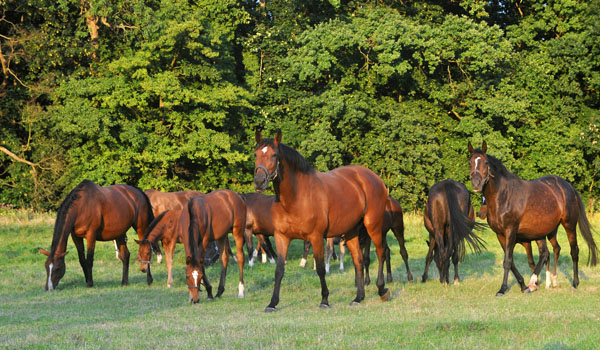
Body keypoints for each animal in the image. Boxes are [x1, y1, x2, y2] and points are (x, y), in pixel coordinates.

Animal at [253, 130, 390, 310]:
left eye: (274, 155)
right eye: (255, 154)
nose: (259, 181)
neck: (296, 197)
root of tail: (375, 178)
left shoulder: (316, 237)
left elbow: (320, 268)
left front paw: (324, 300)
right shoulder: (281, 237)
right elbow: (279, 270)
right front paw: (272, 303)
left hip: (372, 225)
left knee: (381, 252)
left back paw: (382, 290)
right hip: (351, 231)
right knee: (358, 260)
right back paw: (358, 297)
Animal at [472, 142, 596, 296]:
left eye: (486, 162)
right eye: (470, 162)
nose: (476, 183)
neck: (504, 196)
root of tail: (569, 187)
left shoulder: (511, 231)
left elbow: (507, 261)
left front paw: (503, 289)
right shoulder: (500, 235)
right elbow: (512, 262)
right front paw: (523, 286)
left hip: (569, 225)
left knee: (573, 251)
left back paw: (574, 283)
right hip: (548, 231)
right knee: (550, 251)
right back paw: (547, 282)